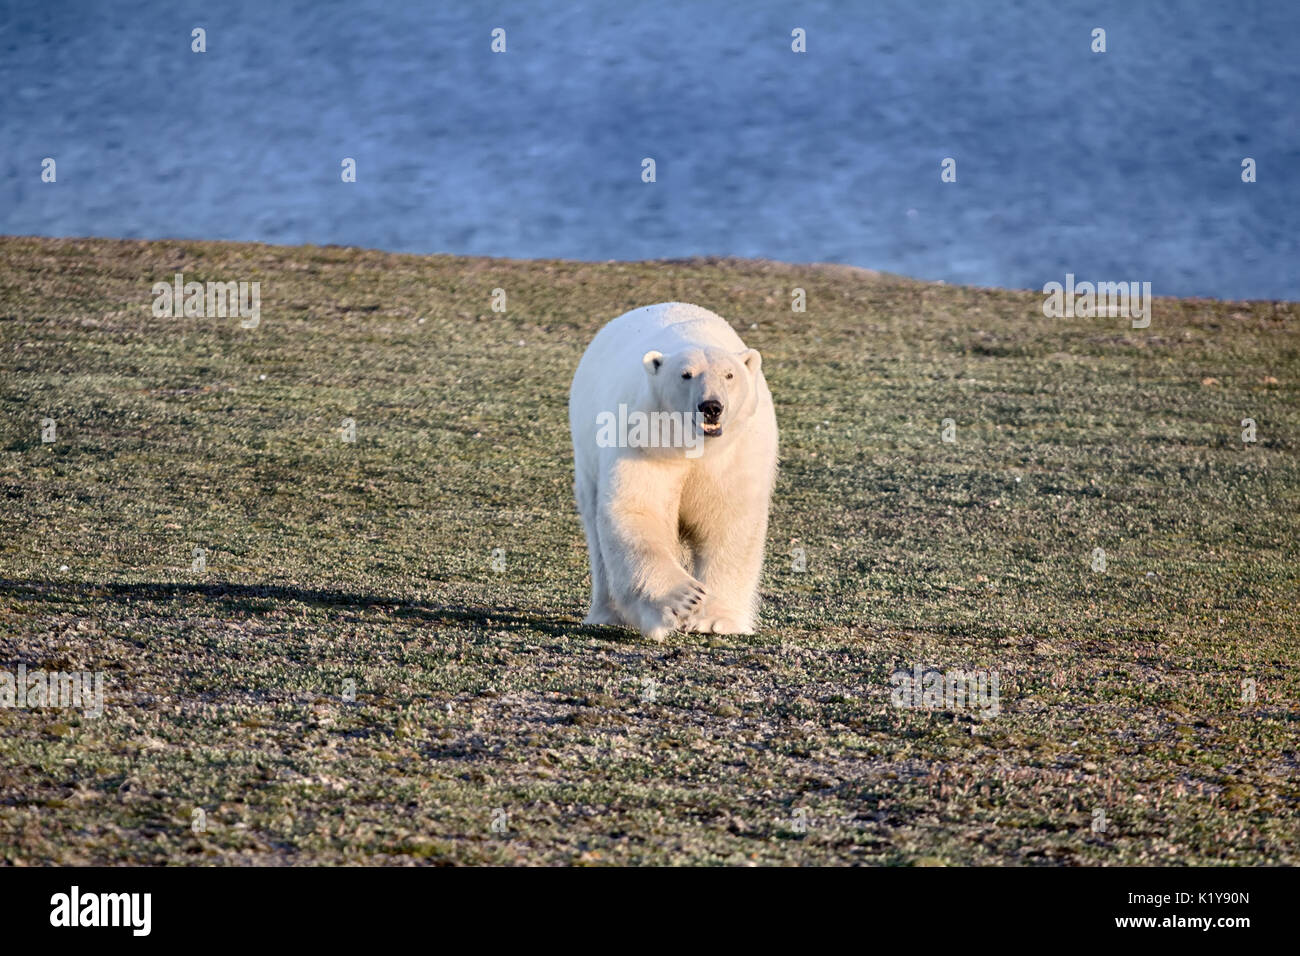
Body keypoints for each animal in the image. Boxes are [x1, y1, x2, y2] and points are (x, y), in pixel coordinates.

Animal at [566, 303, 769, 639]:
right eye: (686, 374)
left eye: (729, 375)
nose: (711, 406)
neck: (693, 444)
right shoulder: (644, 439)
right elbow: (637, 508)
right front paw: (684, 598)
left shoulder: (735, 453)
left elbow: (730, 519)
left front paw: (716, 620)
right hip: (587, 451)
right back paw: (608, 614)